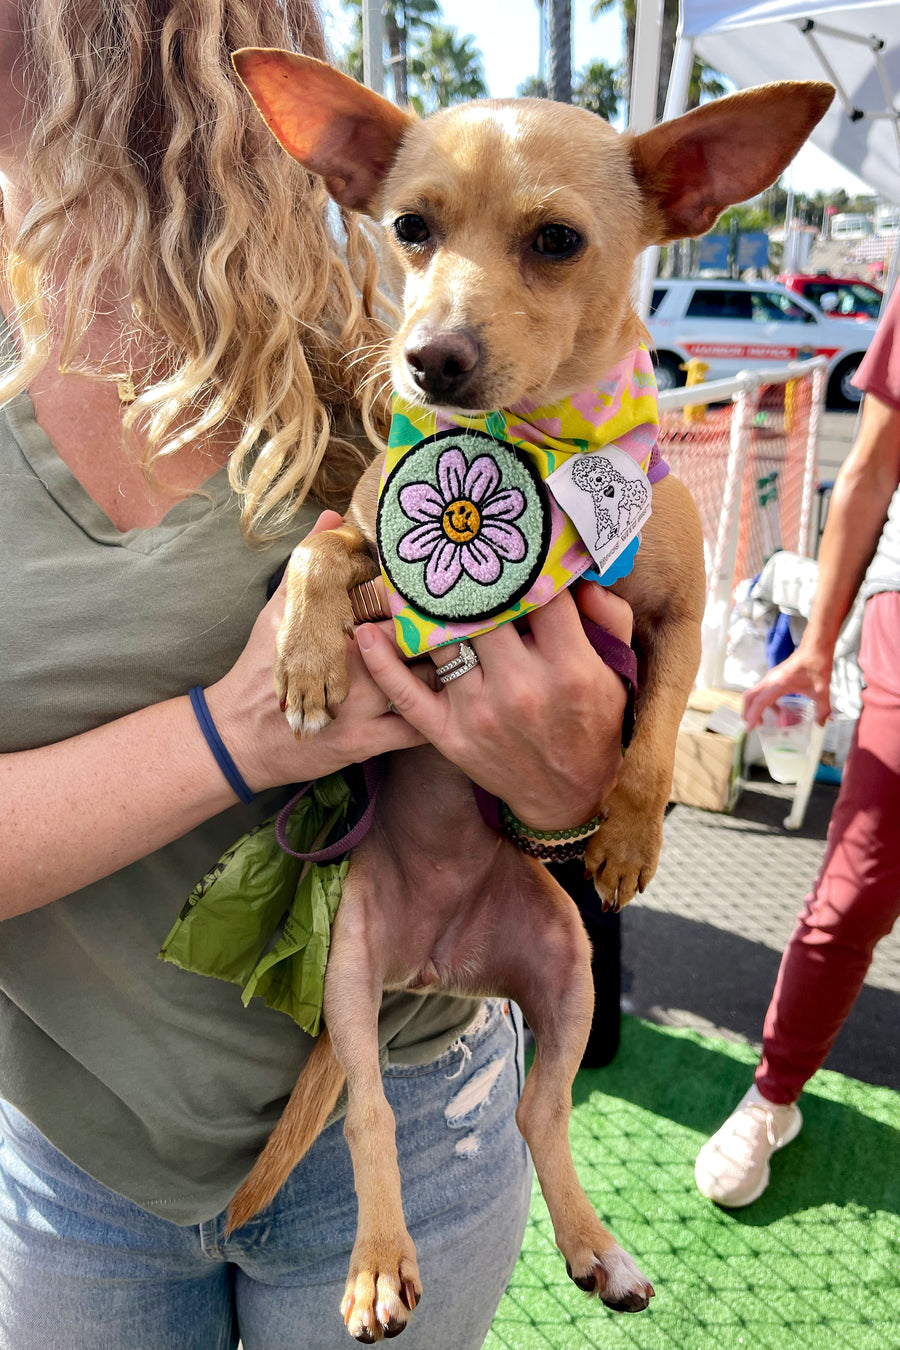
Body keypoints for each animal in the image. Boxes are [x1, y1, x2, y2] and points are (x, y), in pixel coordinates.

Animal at [225, 49, 831, 1339]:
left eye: (556, 241)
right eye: (409, 228)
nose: (430, 359)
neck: (534, 453)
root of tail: (440, 965)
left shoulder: (677, 617)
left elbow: (654, 723)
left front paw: (632, 836)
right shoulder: (364, 537)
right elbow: (318, 550)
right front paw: (302, 660)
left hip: (565, 971)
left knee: (536, 1111)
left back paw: (598, 1248)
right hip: (349, 982)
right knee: (369, 1114)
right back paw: (378, 1264)